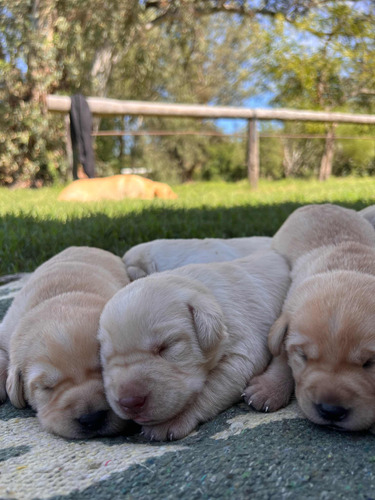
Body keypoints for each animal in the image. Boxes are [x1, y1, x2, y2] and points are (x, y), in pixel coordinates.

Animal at [98, 250, 290, 442]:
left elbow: (213, 385)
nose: (130, 402)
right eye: (106, 358)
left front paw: (172, 421)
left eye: (166, 347)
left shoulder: (242, 347)